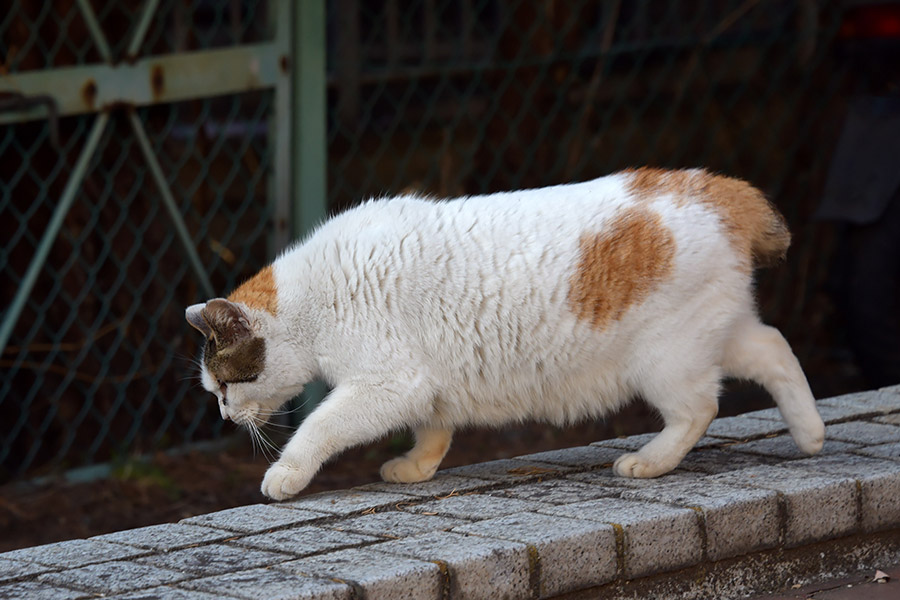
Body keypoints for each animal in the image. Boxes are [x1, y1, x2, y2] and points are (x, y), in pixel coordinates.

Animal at [188, 166, 824, 500]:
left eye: (225, 388)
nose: (223, 415)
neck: (313, 300)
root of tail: (720, 188)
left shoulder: (388, 383)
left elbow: (319, 426)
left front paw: (285, 475)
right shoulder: (425, 384)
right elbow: (434, 429)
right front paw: (416, 468)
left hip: (666, 359)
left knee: (698, 408)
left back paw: (649, 462)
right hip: (717, 333)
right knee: (776, 347)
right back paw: (812, 435)